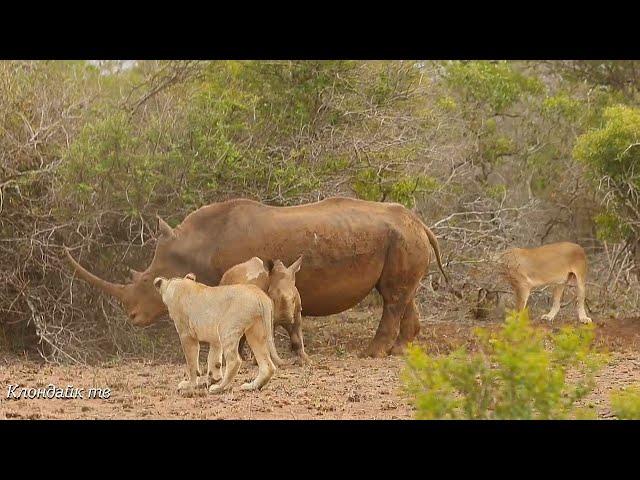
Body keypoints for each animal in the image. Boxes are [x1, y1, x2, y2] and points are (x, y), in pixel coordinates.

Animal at [152, 272, 282, 396]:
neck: (177, 284)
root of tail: (259, 294)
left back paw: (218, 388)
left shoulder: (186, 334)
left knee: (235, 361)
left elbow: (192, 363)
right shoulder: (215, 338)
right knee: (268, 366)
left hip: (226, 328)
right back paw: (251, 386)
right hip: (255, 333)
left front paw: (190, 384)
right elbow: (214, 359)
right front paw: (213, 379)